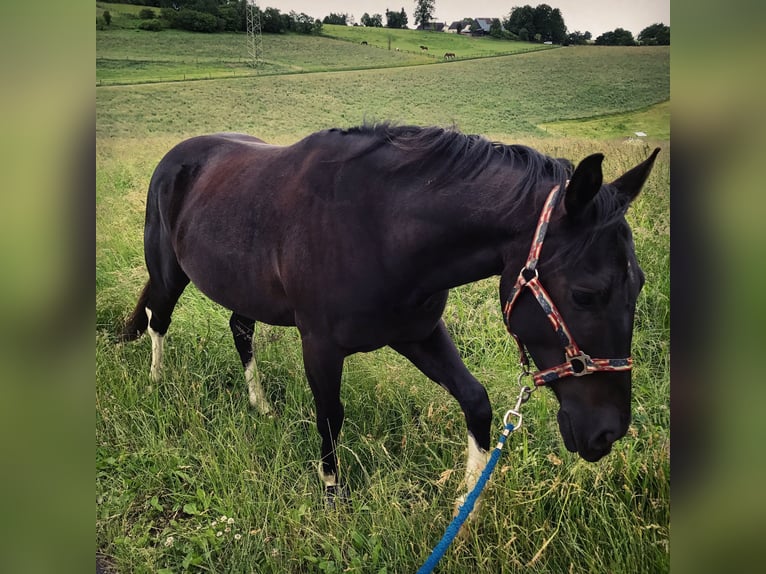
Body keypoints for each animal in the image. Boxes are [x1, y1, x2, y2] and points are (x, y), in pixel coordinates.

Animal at [122, 124, 659, 511]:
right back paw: (156, 382)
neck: (380, 228)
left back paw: (261, 405)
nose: (607, 433)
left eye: (639, 285)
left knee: (240, 330)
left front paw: (466, 502)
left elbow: (476, 401)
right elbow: (330, 416)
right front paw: (332, 494)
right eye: (586, 294)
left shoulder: (418, 333)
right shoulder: (320, 345)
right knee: (158, 319)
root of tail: (176, 157)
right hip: (169, 273)